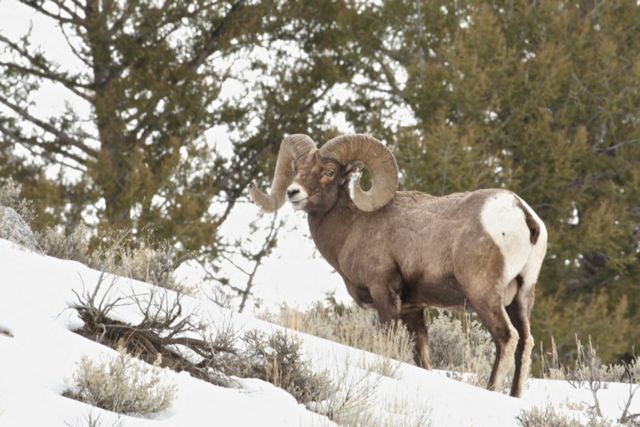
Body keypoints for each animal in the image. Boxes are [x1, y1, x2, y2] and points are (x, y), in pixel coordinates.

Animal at [250, 135, 544, 398]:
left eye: (329, 172)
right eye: (296, 169)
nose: (293, 193)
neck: (353, 226)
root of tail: (522, 214)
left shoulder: (384, 293)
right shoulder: (413, 310)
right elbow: (422, 357)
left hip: (484, 296)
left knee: (507, 337)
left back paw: (492, 390)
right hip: (521, 298)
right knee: (525, 342)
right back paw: (515, 396)